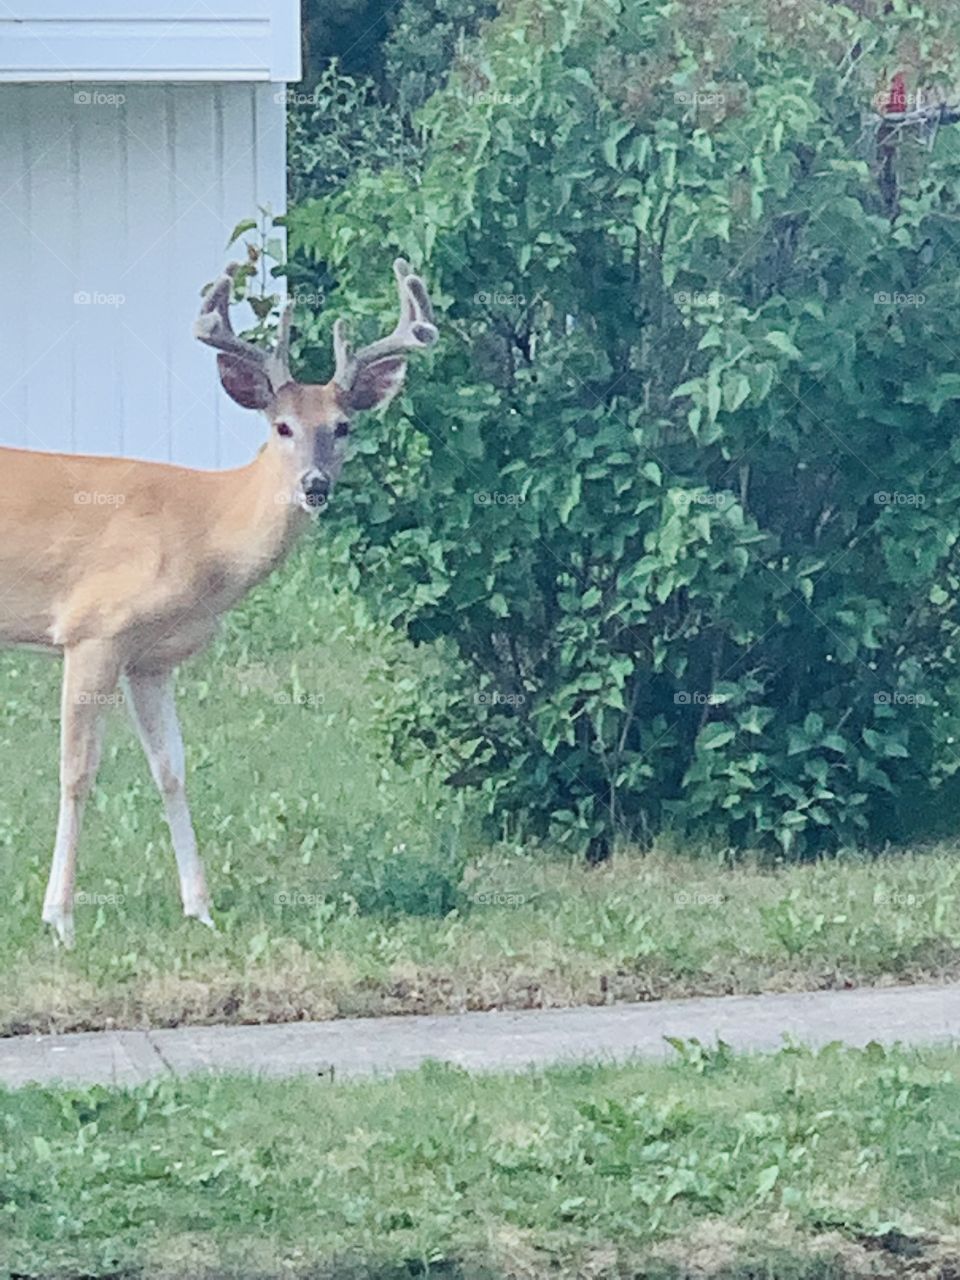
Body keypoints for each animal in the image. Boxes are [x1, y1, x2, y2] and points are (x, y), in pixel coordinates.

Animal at [0, 258, 438, 946]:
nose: (315, 485)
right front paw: (60, 918)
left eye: (343, 427)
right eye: (281, 426)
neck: (204, 533)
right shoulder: (92, 629)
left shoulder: (151, 659)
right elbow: (77, 773)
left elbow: (171, 769)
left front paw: (200, 907)